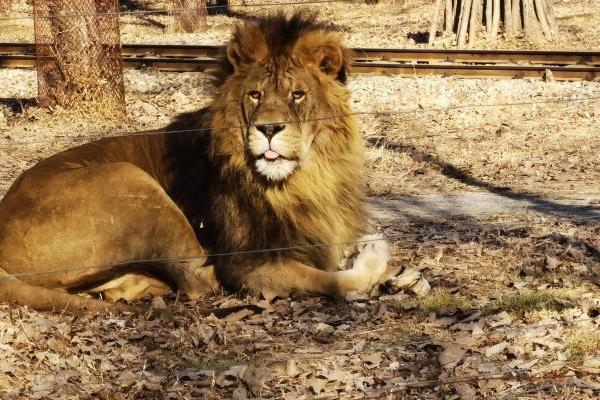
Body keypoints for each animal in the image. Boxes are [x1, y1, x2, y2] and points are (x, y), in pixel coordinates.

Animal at [0, 12, 390, 312]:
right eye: (255, 95)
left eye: (298, 95)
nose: (268, 129)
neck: (306, 180)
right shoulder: (248, 263)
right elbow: (330, 279)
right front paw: (378, 258)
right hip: (130, 180)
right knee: (198, 279)